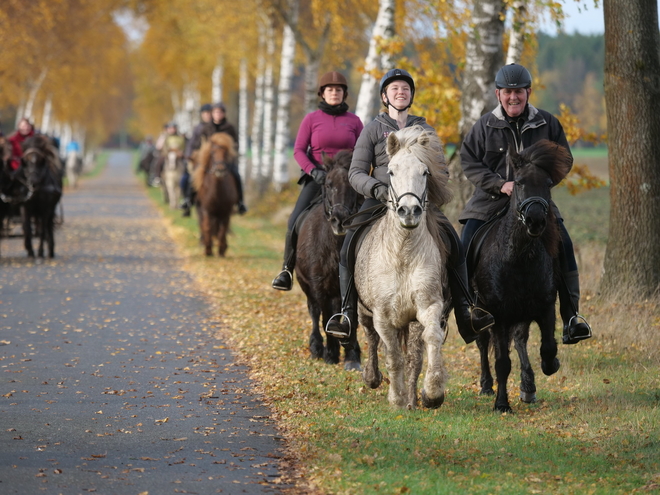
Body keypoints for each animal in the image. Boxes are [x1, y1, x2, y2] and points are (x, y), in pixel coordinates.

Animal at [296, 151, 364, 372]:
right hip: (306, 285)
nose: (339, 220)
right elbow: (324, 315)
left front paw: (352, 355)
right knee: (314, 312)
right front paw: (331, 354)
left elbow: (352, 318)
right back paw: (317, 347)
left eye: (354, 185)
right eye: (328, 184)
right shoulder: (319, 286)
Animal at [356, 127, 454, 410]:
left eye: (425, 172)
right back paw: (372, 377)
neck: (403, 254)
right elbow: (393, 356)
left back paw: (413, 400)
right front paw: (396, 399)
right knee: (370, 337)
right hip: (363, 310)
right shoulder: (382, 315)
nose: (409, 211)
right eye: (391, 171)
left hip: (411, 321)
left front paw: (431, 393)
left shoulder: (428, 306)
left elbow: (429, 342)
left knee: (414, 356)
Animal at [470, 140, 572, 414]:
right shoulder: (499, 315)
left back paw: (528, 386)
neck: (518, 258)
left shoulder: (545, 307)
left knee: (519, 340)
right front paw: (501, 404)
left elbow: (547, 347)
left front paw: (549, 365)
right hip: (481, 312)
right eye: (519, 182)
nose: (536, 221)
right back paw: (486, 385)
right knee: (483, 343)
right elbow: (502, 362)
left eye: (548, 183)